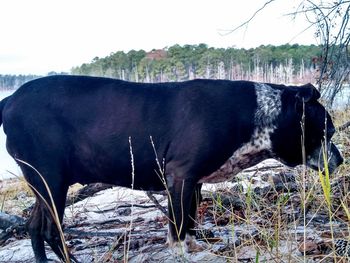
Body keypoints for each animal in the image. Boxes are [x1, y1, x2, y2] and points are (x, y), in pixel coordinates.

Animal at [0, 75, 344, 262]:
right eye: (328, 130)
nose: (340, 160)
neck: (257, 113)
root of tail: (9, 99)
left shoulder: (193, 183)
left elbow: (189, 219)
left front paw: (195, 245)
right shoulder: (180, 177)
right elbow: (177, 225)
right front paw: (182, 252)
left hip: (44, 184)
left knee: (34, 227)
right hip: (51, 180)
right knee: (49, 229)